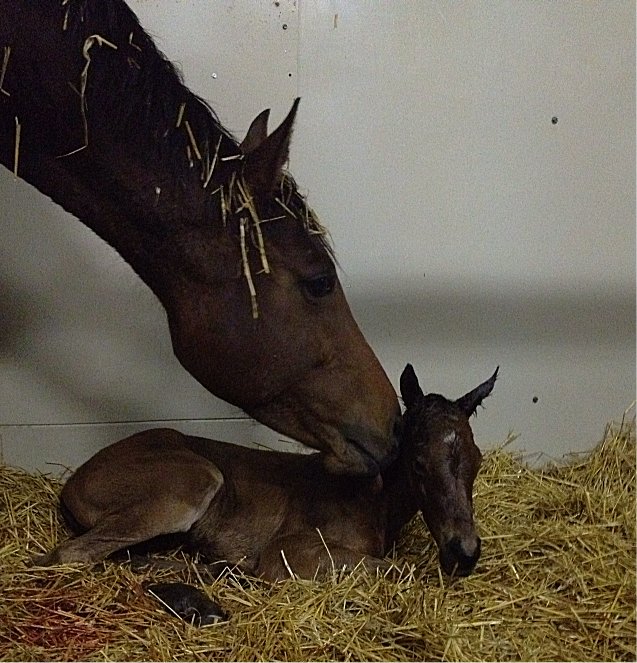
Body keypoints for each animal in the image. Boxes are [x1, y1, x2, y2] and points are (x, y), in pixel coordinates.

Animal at [33, 364, 496, 580]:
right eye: (418, 462)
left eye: (477, 460)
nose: (465, 552)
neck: (374, 501)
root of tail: (74, 482)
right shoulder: (289, 550)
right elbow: (396, 569)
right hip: (191, 484)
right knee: (70, 555)